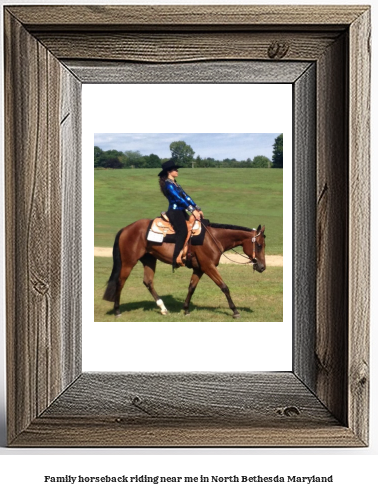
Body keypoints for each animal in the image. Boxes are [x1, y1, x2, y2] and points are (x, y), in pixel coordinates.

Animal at [103, 220, 266, 320]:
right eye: (258, 245)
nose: (262, 267)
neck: (212, 239)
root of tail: (126, 228)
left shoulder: (199, 269)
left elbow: (191, 287)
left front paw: (186, 309)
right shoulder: (208, 267)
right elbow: (224, 287)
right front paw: (235, 311)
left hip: (149, 260)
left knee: (148, 282)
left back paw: (163, 308)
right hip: (128, 262)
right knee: (120, 282)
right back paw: (117, 311)